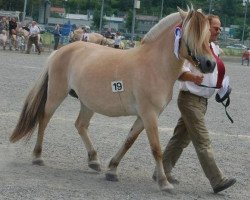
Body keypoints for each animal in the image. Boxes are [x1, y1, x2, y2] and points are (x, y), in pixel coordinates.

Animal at [10, 7, 215, 192]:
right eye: (190, 35)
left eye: (207, 35)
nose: (210, 64)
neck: (154, 66)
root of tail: (61, 50)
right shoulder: (149, 115)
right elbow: (156, 148)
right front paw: (164, 183)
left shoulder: (144, 116)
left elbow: (128, 141)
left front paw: (112, 170)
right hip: (56, 94)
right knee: (44, 119)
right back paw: (38, 156)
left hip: (87, 103)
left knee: (80, 125)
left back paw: (94, 160)